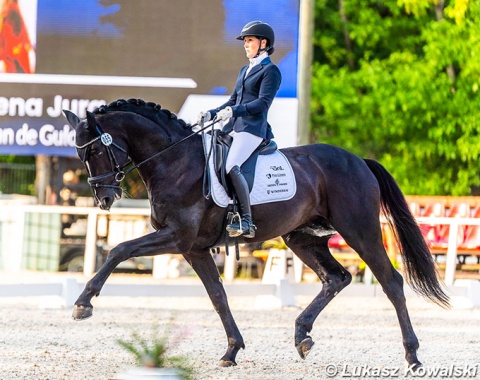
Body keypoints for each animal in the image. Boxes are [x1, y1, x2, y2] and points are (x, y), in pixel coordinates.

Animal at [63, 98, 450, 368]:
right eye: (81, 155)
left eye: (95, 149)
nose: (104, 198)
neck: (175, 162)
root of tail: (358, 161)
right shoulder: (194, 248)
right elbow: (218, 296)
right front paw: (232, 351)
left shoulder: (178, 237)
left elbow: (119, 250)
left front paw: (83, 303)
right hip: (303, 238)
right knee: (336, 278)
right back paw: (302, 335)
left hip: (360, 232)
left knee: (391, 282)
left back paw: (413, 356)